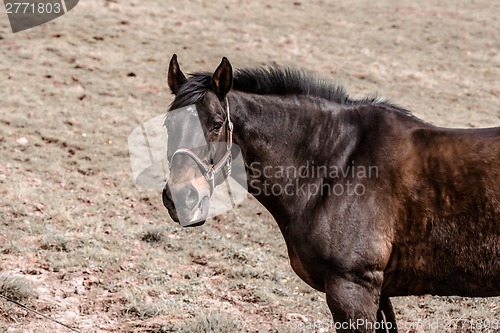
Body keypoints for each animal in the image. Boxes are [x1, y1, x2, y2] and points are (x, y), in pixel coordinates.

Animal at [162, 55, 498, 332]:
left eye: (216, 124)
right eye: (168, 125)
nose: (181, 198)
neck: (336, 164)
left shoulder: (352, 289)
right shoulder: (378, 292)